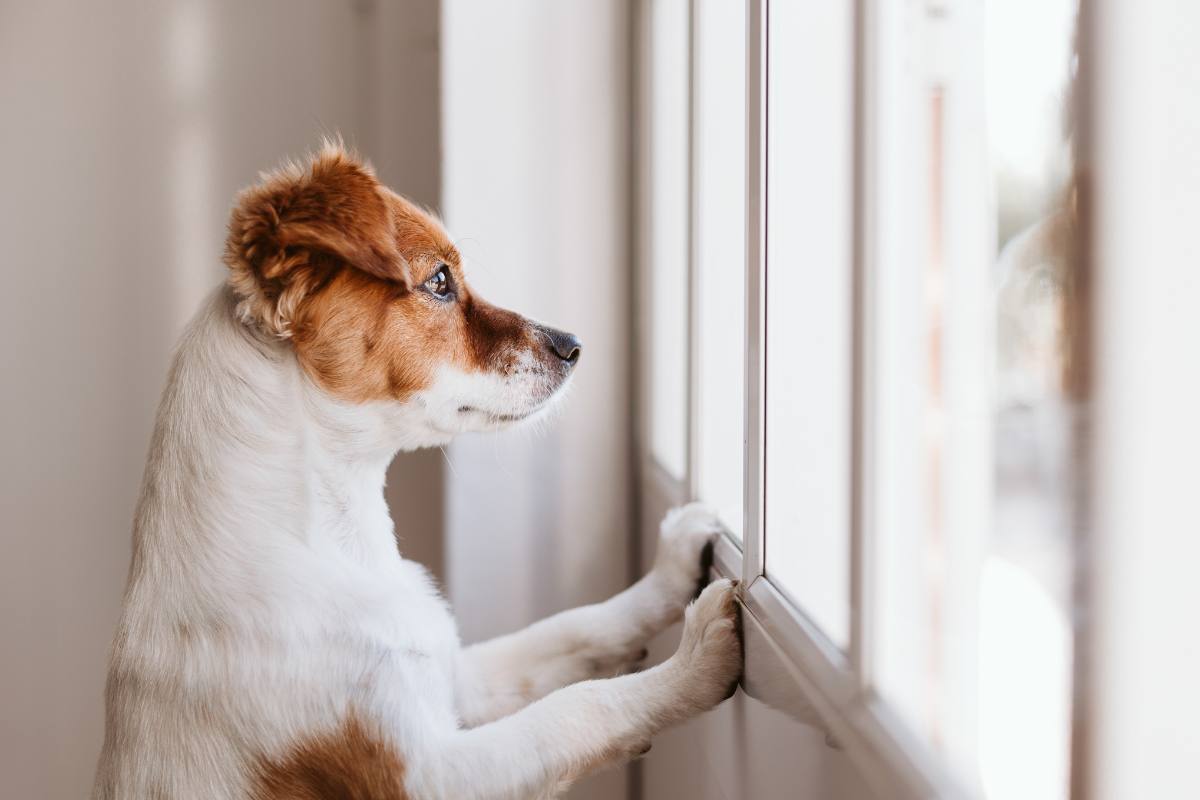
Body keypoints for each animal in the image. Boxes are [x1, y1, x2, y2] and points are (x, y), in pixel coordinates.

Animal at [93, 143, 744, 800]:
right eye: (438, 282)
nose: (574, 345)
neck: (336, 542)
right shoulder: (429, 774)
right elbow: (578, 708)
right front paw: (695, 662)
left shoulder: (456, 678)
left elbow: (577, 628)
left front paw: (671, 568)